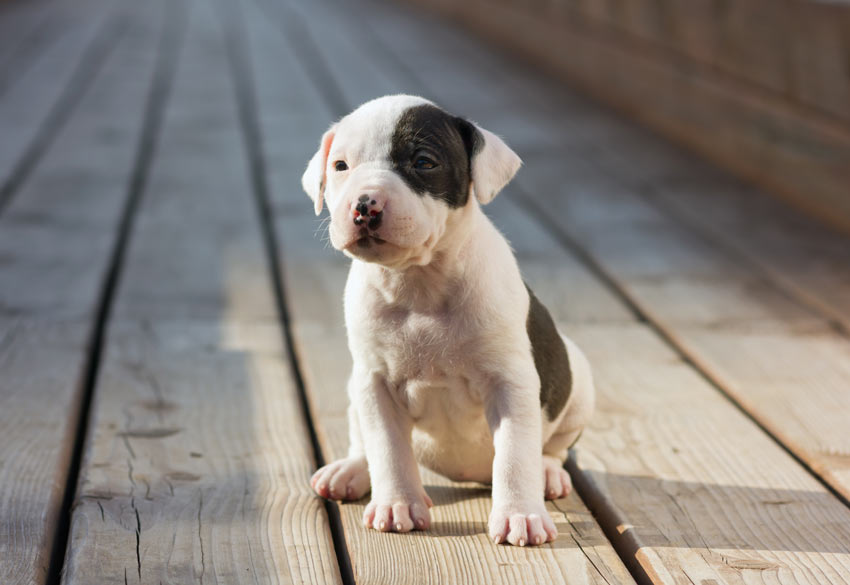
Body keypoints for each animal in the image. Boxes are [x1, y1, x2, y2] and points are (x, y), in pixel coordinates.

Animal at [302, 93, 592, 544]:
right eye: (341, 166)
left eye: (423, 162)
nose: (365, 204)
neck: (419, 283)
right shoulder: (373, 383)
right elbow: (387, 448)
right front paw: (398, 503)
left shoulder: (510, 384)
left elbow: (514, 454)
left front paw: (520, 515)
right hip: (353, 388)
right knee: (361, 440)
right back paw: (350, 470)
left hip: (577, 381)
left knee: (553, 447)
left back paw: (547, 473)